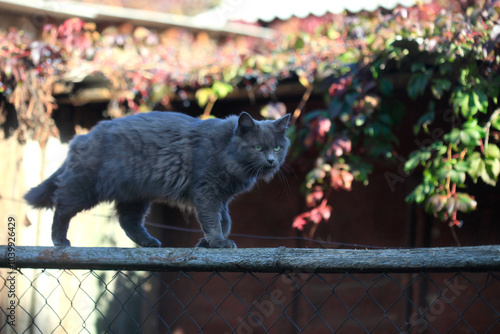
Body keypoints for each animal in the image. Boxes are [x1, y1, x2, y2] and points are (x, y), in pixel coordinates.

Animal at [24, 111, 290, 248]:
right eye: (257, 147)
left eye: (277, 147)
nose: (271, 161)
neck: (226, 148)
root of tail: (82, 138)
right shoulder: (207, 192)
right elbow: (212, 220)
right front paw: (217, 242)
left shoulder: (221, 199)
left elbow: (225, 220)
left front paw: (211, 242)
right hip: (86, 186)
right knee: (62, 208)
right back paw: (60, 240)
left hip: (135, 196)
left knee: (128, 222)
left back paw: (149, 242)